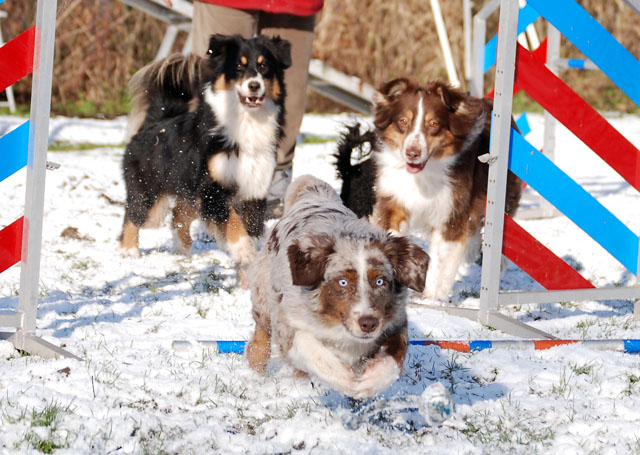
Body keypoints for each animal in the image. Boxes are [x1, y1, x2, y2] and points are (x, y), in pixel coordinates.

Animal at [120, 34, 290, 274]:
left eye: (264, 66)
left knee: (178, 215)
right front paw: (243, 251)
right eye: (238, 67)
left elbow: (253, 226)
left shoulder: (255, 186)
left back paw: (183, 249)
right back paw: (129, 250)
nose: (254, 86)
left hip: (188, 191)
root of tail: (154, 122)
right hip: (150, 192)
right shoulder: (212, 188)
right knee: (134, 214)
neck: (247, 121)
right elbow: (233, 221)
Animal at [336, 79, 520, 302]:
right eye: (403, 121)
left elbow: (442, 258)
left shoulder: (452, 210)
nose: (412, 153)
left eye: (433, 124)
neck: (423, 173)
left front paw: (431, 297)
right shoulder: (395, 199)